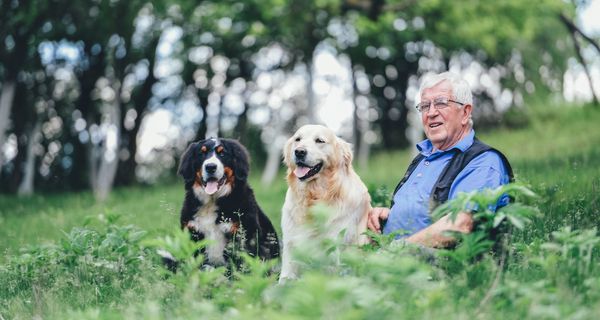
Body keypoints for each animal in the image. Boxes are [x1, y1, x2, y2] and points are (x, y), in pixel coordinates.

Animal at [173, 138, 278, 268]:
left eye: (222, 153)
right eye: (202, 153)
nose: (210, 167)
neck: (211, 202)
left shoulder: (244, 234)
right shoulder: (193, 232)